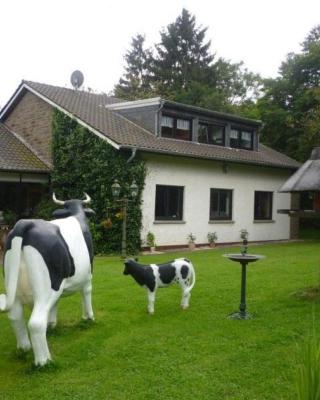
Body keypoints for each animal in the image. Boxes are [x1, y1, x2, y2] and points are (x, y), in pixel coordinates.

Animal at [0, 193, 94, 366]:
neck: (77, 214)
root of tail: (25, 223)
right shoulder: (89, 274)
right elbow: (86, 293)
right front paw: (89, 317)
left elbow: (54, 305)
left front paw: (51, 325)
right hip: (46, 288)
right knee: (36, 323)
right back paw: (44, 361)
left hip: (15, 285)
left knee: (16, 317)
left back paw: (24, 348)